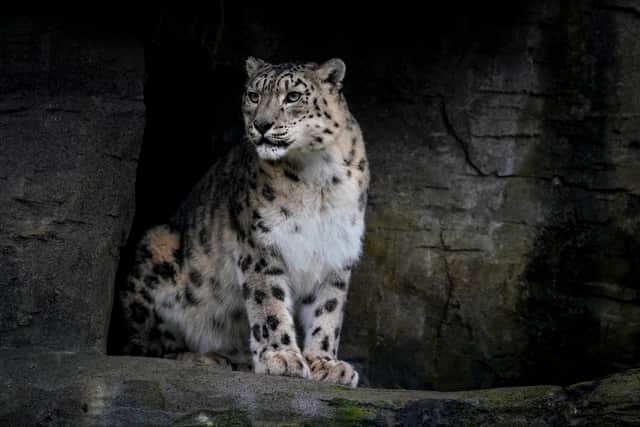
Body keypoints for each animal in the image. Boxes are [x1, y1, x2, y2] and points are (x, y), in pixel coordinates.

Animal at [117, 57, 369, 388]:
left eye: (293, 96)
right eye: (253, 95)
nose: (261, 125)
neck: (318, 176)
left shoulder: (336, 249)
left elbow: (328, 311)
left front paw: (326, 364)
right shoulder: (262, 244)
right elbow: (269, 302)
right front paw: (281, 357)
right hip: (159, 245)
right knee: (148, 346)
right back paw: (207, 357)